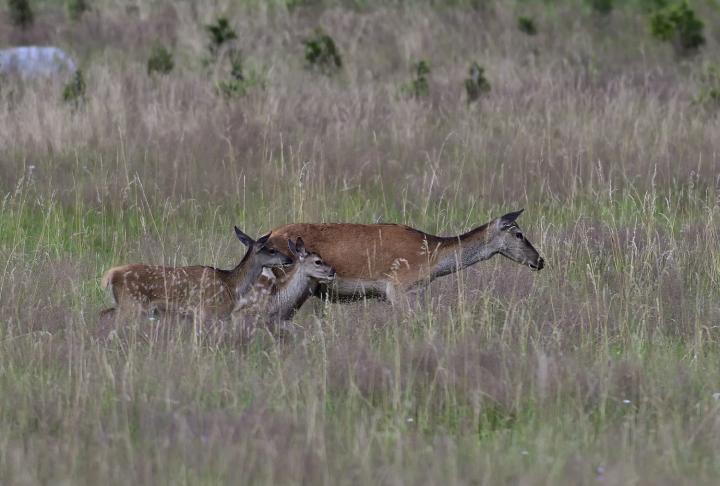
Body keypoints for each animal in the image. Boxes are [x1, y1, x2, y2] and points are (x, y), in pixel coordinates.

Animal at [100, 227, 292, 320]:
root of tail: (111, 274)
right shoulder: (208, 311)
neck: (231, 285)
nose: (289, 258)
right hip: (131, 304)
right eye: (272, 250)